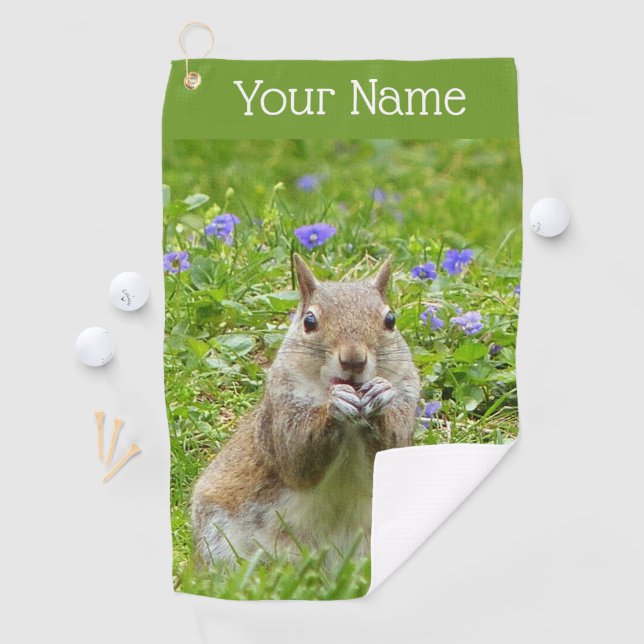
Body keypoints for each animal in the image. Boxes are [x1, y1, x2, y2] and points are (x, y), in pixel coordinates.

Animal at [191, 254, 420, 565]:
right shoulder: (281, 404)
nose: (353, 360)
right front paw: (334, 406)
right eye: (309, 321)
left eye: (390, 319)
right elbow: (296, 457)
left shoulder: (407, 395)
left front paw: (379, 395)